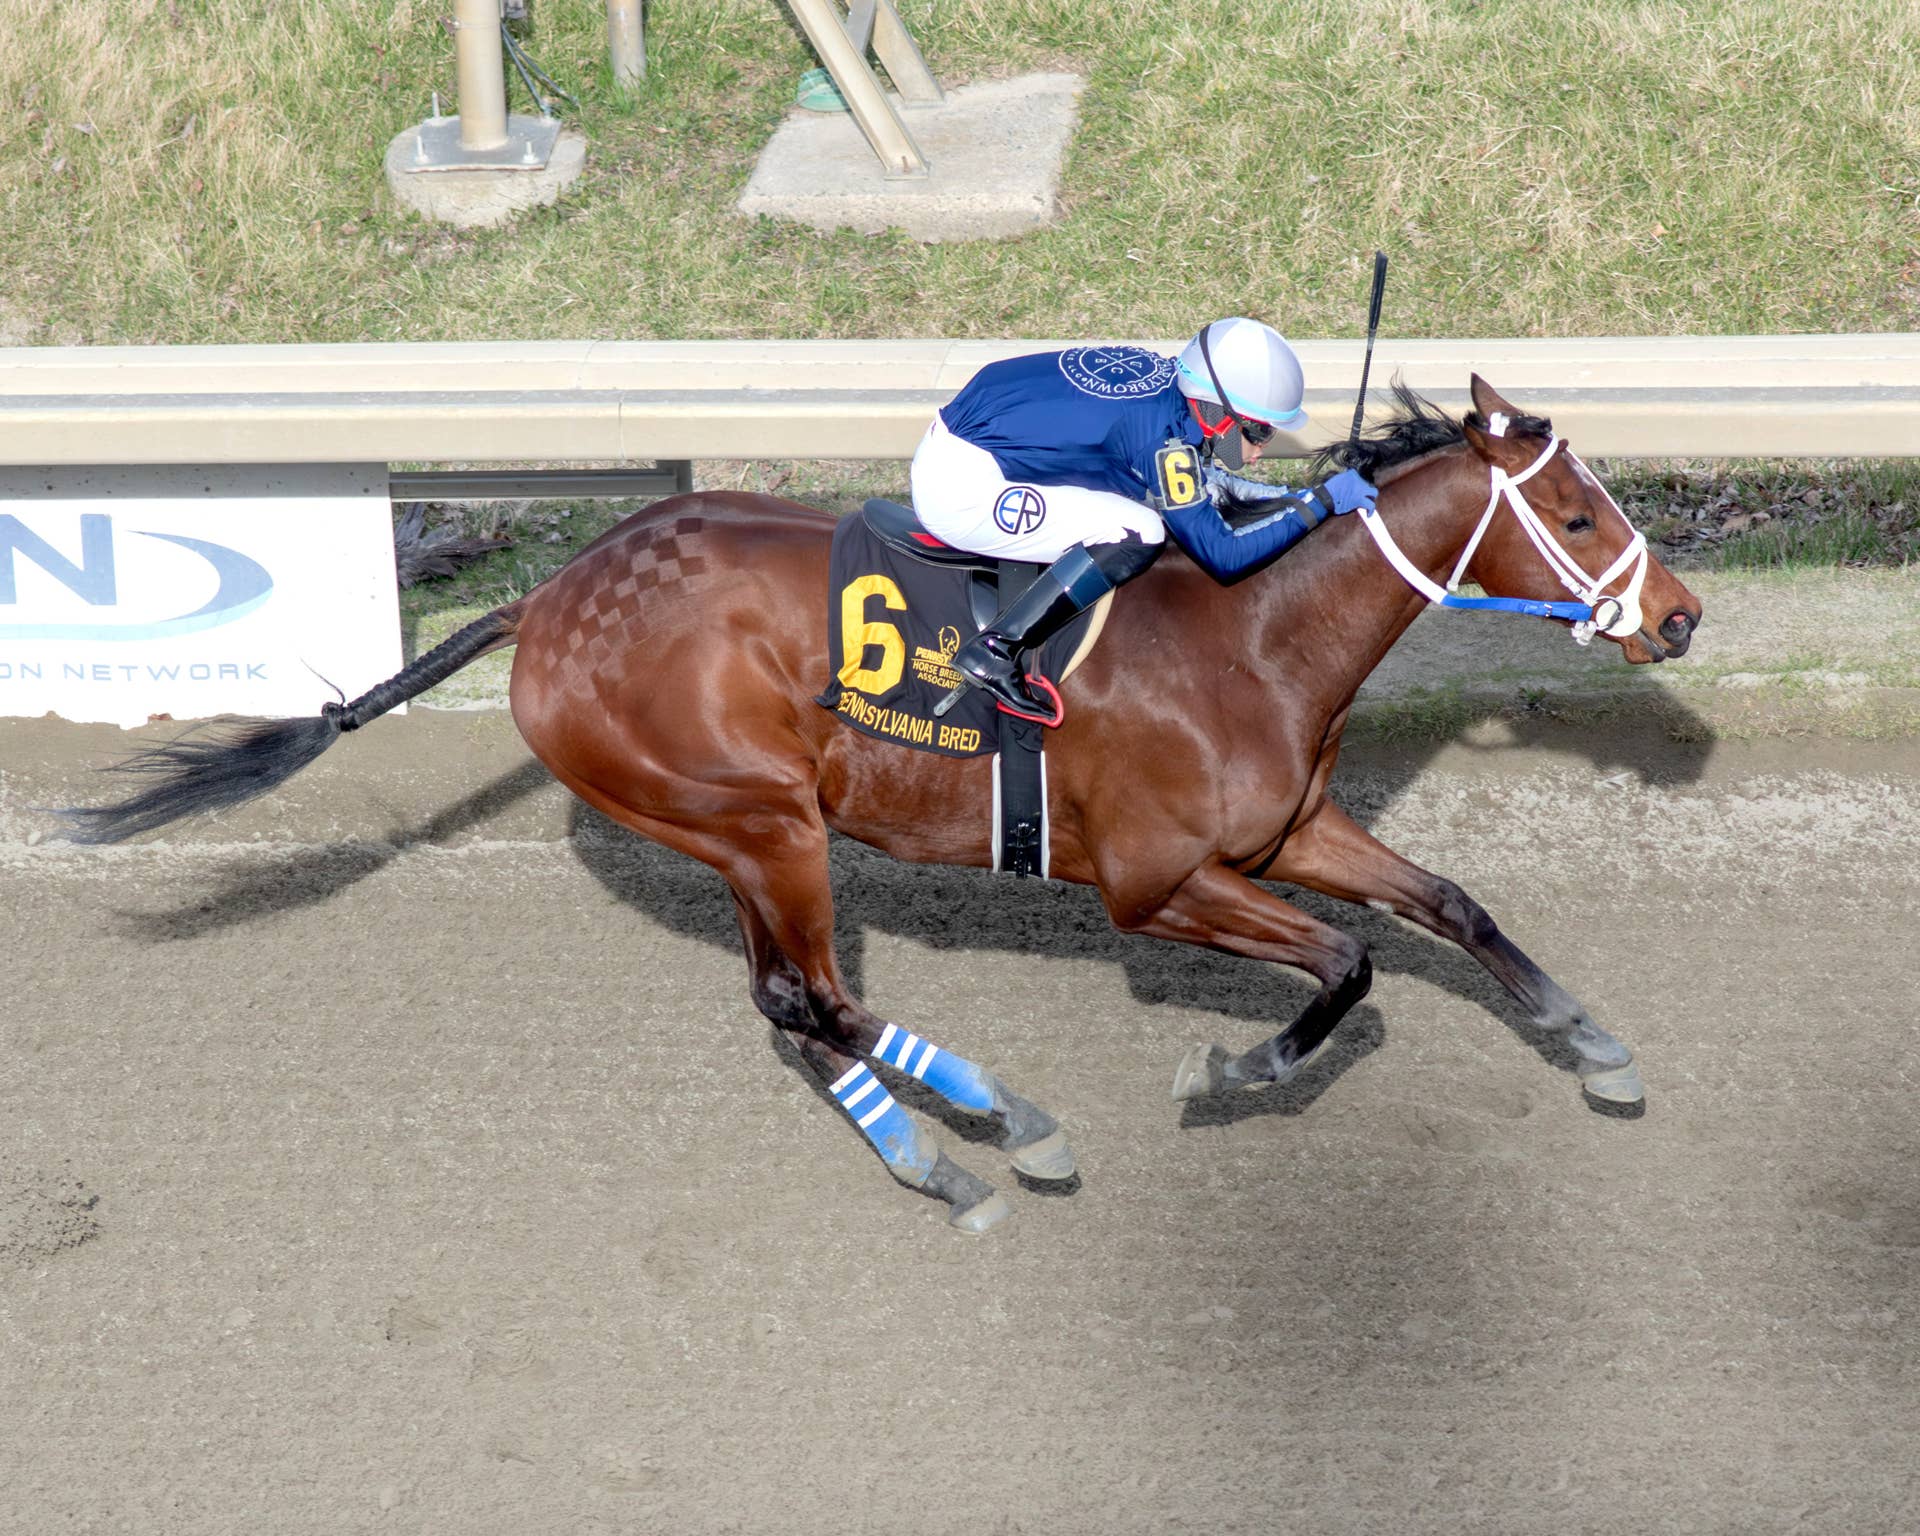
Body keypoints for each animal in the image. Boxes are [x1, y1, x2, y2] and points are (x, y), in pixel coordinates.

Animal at [62, 376, 1703, 1233]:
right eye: (1575, 513)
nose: (1680, 617)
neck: (1249, 635)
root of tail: (549, 597)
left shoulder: (1291, 831)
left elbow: (1452, 907)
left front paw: (1597, 1047)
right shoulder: (1157, 887)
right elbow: (1351, 966)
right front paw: (1227, 1072)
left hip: (735, 833)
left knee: (789, 1008)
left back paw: (935, 1155)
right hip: (762, 820)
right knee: (822, 1001)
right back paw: (1008, 1124)